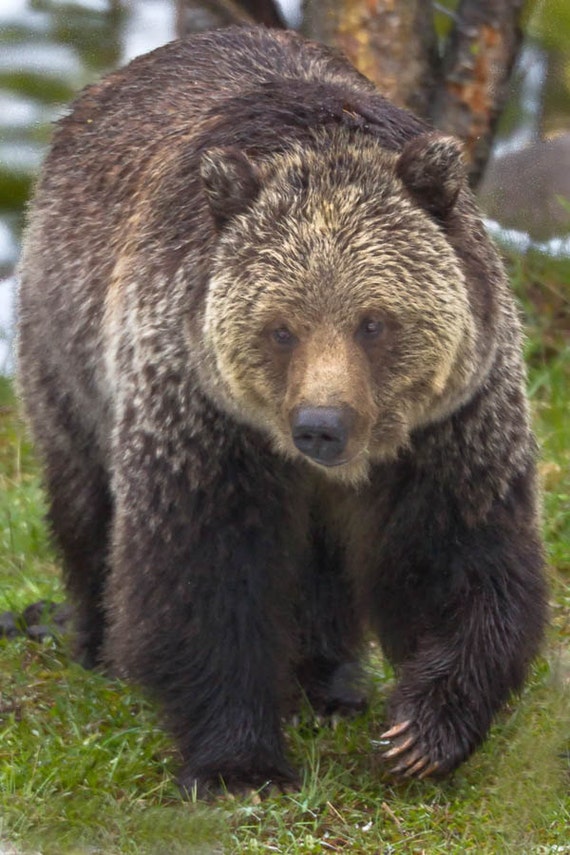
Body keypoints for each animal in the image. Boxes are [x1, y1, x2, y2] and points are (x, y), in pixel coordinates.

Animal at [16, 25, 544, 796]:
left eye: (373, 322)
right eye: (281, 328)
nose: (321, 426)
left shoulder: (451, 421)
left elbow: (460, 558)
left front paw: (421, 731)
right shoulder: (202, 411)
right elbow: (205, 572)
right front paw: (240, 763)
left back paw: (328, 678)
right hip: (66, 342)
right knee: (85, 497)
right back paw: (94, 638)